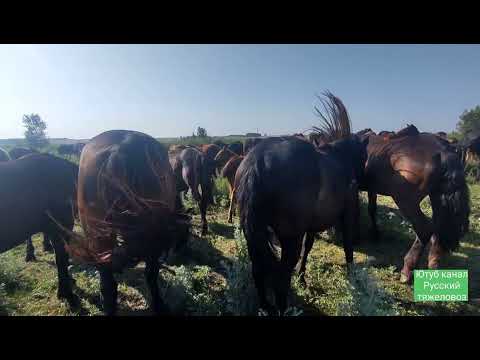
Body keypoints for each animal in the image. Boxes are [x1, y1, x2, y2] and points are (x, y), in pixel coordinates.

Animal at [236, 91, 368, 314]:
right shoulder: (347, 213)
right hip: (289, 239)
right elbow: (348, 246)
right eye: (365, 156)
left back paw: (265, 306)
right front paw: (352, 278)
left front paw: (302, 277)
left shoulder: (311, 225)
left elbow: (309, 246)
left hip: (254, 235)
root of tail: (257, 163)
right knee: (280, 279)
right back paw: (283, 309)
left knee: (258, 270)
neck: (341, 159)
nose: (363, 180)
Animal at [360, 125, 468, 282]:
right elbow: (371, 209)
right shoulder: (372, 189)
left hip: (405, 200)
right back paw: (434, 265)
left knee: (424, 229)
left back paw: (407, 270)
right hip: (438, 200)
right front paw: (375, 233)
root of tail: (444, 152)